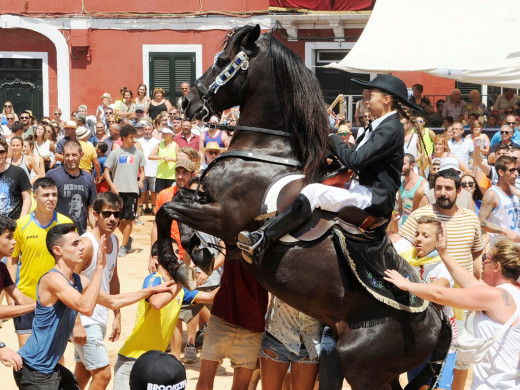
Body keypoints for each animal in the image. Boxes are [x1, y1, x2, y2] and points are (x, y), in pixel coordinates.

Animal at [156, 25, 448, 390]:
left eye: (222, 61)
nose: (187, 101)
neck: (267, 150)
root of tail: (437, 315)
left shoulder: (224, 217)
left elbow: (166, 211)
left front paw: (177, 264)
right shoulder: (206, 203)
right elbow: (178, 202)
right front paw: (196, 251)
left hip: (361, 366)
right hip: (379, 369)